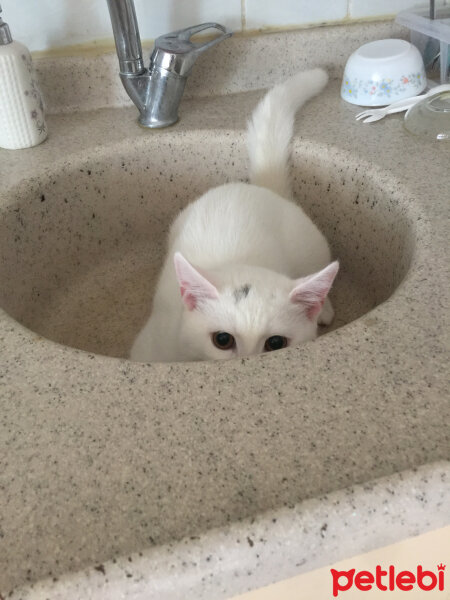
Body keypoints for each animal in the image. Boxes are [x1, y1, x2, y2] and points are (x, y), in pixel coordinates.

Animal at [130, 68, 338, 364]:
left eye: (276, 343)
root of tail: (260, 188)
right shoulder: (150, 347)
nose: (246, 363)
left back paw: (323, 308)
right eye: (222, 340)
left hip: (311, 246)